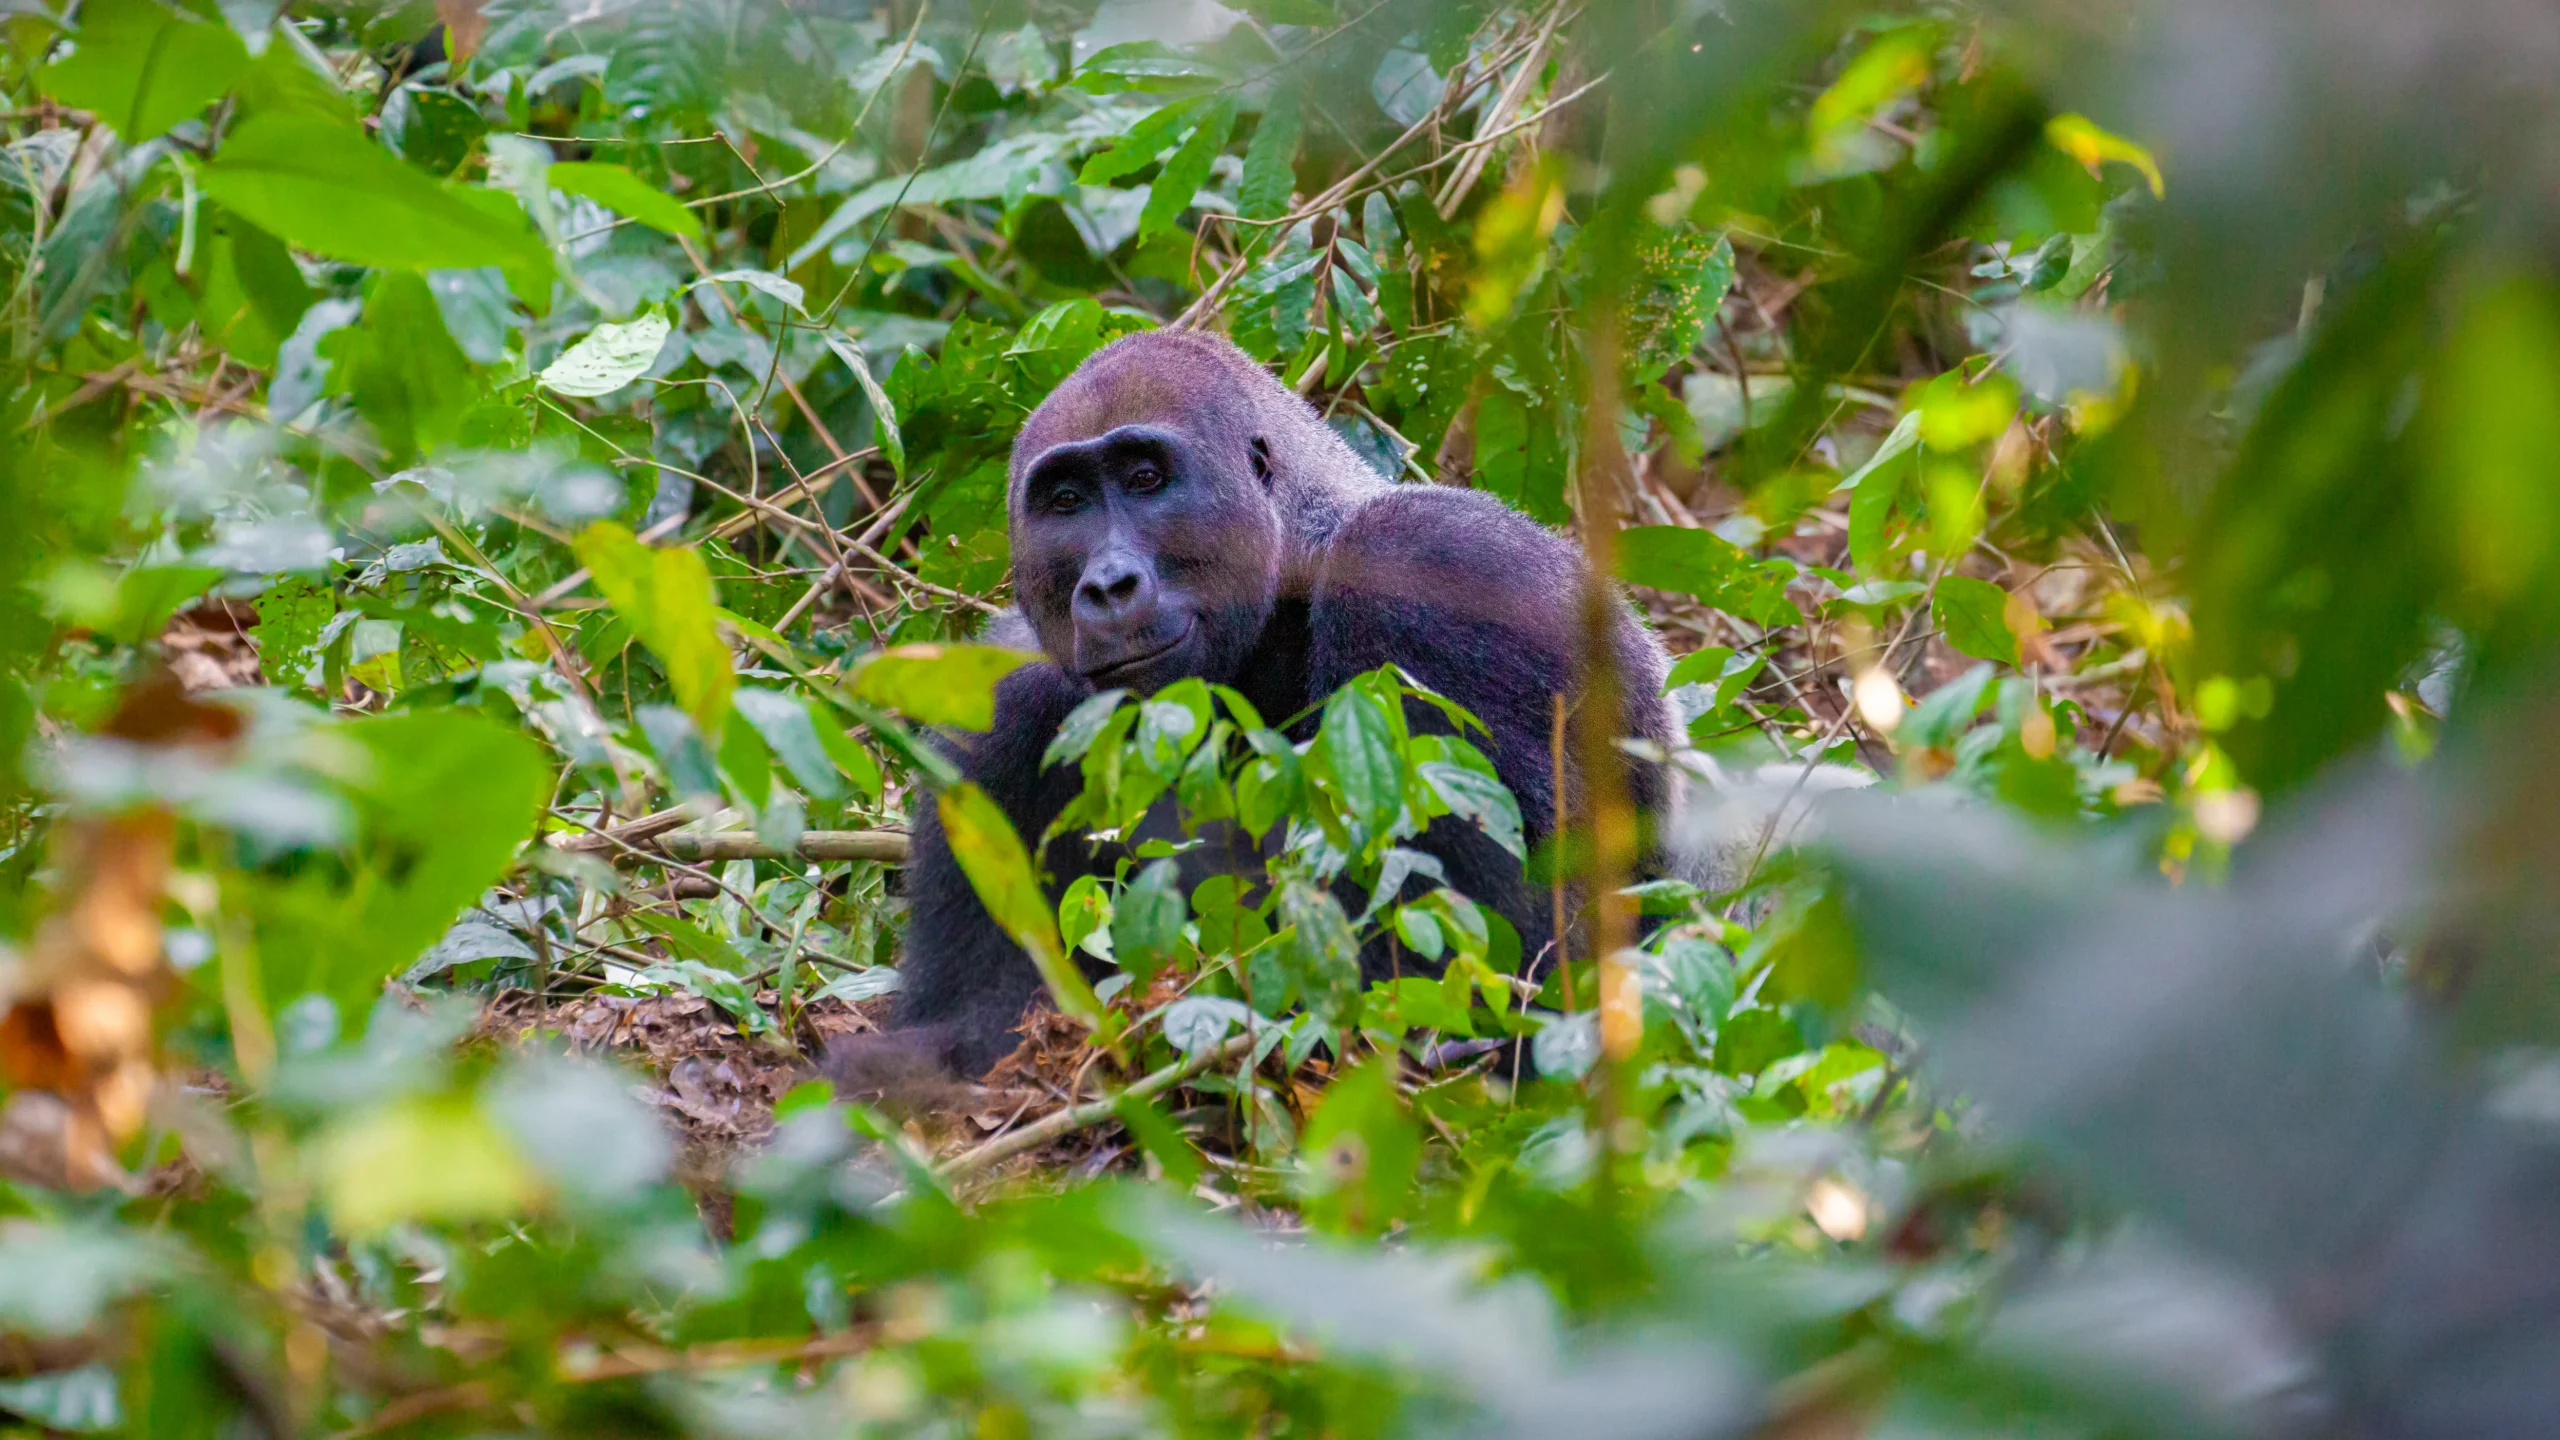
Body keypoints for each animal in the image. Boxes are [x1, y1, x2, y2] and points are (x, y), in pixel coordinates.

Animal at [859, 330, 1676, 1079]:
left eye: (1147, 479)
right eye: (1067, 503)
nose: (1109, 586)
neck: (1297, 556)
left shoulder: (1433, 566)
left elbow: (1478, 980)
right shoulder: (1000, 716)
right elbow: (968, 1031)